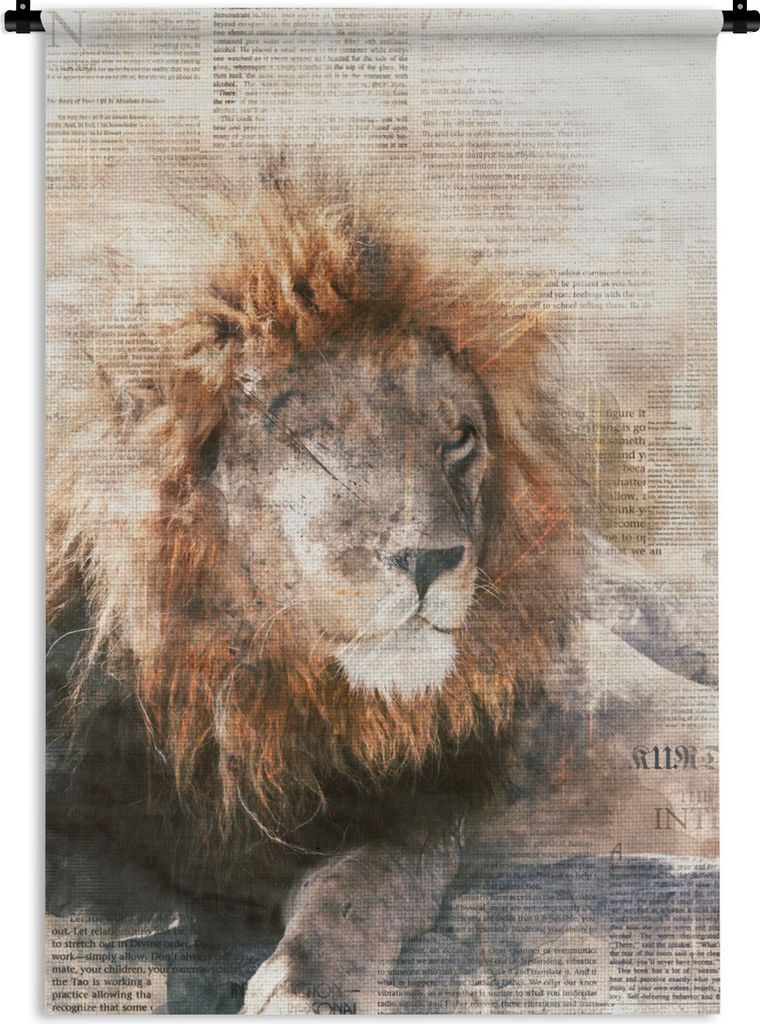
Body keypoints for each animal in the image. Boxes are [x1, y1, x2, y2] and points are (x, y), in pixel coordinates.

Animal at [46, 170, 588, 1013]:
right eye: (316, 439)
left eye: (458, 438)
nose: (432, 558)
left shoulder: (422, 801)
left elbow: (366, 886)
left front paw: (307, 988)